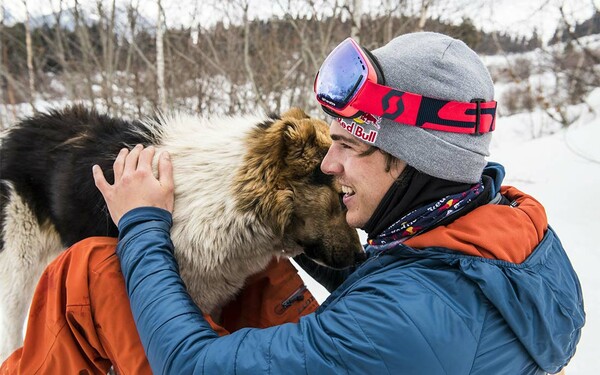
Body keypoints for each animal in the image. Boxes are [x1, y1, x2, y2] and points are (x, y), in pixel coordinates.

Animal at [0, 105, 364, 362]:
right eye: (342, 197)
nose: (362, 259)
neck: (226, 197)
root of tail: (15, 131)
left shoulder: (210, 300)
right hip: (18, 264)